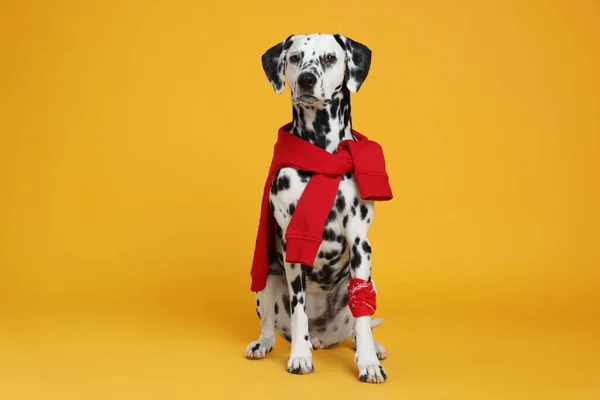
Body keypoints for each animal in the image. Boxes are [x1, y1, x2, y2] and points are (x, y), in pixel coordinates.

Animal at [245, 32, 392, 382]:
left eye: (329, 57)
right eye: (295, 57)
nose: (306, 80)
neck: (323, 155)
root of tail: (324, 337)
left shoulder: (360, 244)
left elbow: (363, 316)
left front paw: (369, 362)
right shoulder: (292, 244)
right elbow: (298, 311)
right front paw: (300, 356)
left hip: (371, 281)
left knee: (361, 323)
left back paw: (372, 346)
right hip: (265, 277)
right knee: (269, 324)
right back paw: (264, 343)